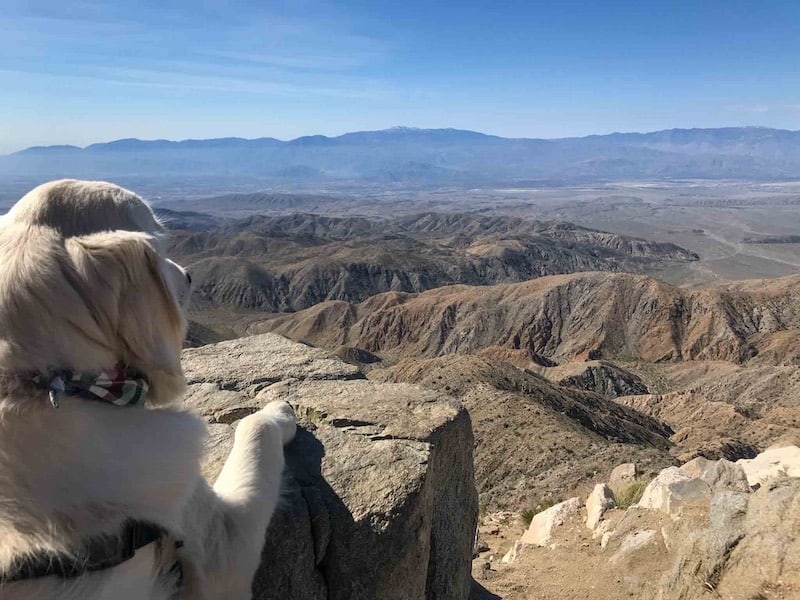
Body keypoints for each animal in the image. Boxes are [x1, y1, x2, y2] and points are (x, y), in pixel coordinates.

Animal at [0, 180, 296, 600]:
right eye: (159, 245)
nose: (188, 276)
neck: (50, 383)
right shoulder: (220, 546)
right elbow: (254, 429)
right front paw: (279, 412)